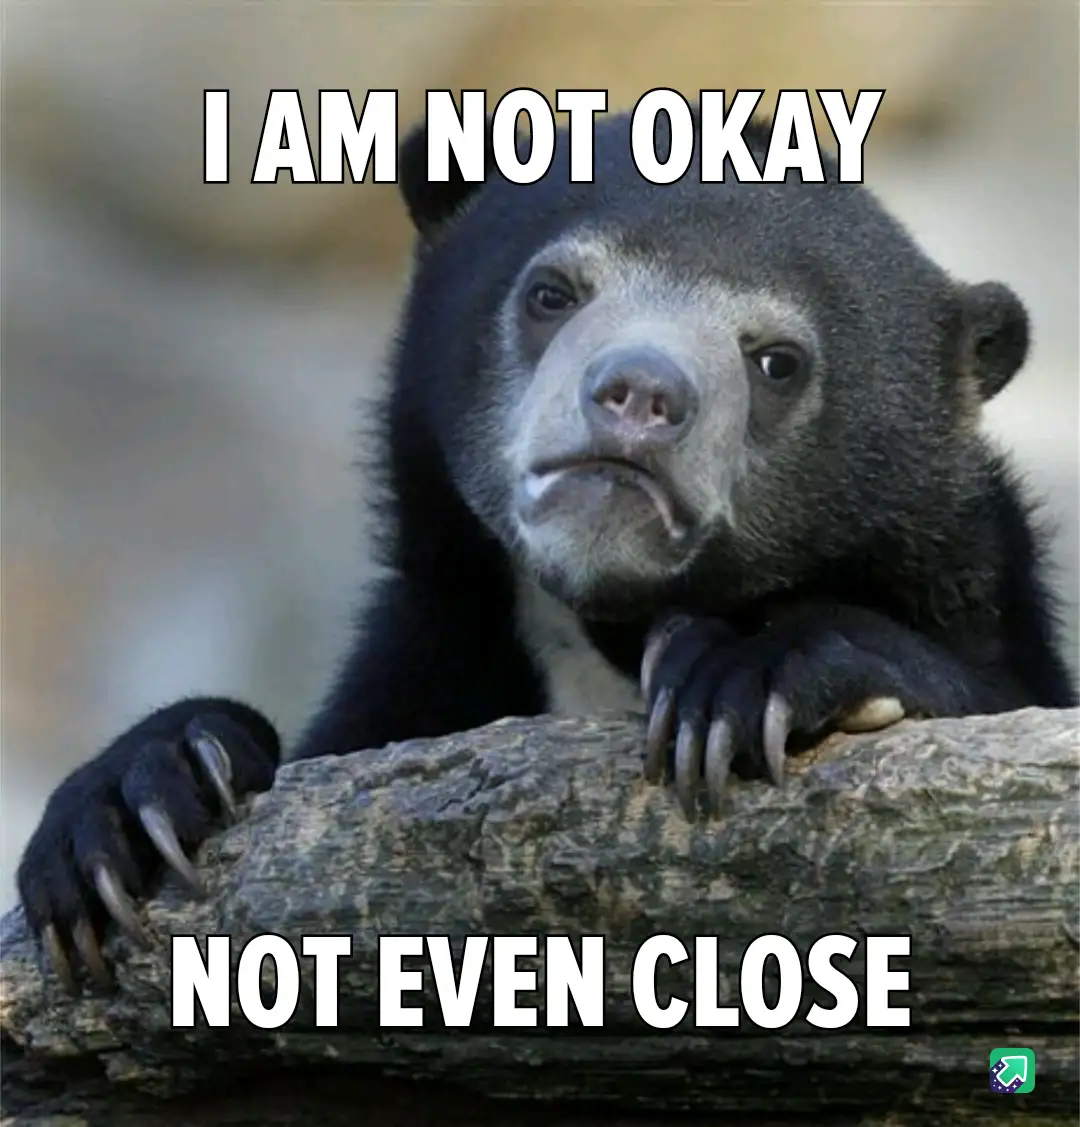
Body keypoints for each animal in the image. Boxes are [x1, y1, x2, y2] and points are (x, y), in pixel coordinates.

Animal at [16, 109, 1077, 992]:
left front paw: (741, 673)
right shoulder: (439, 649)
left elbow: (993, 686)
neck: (604, 631)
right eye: (551, 292)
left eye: (777, 361)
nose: (640, 394)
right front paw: (132, 804)